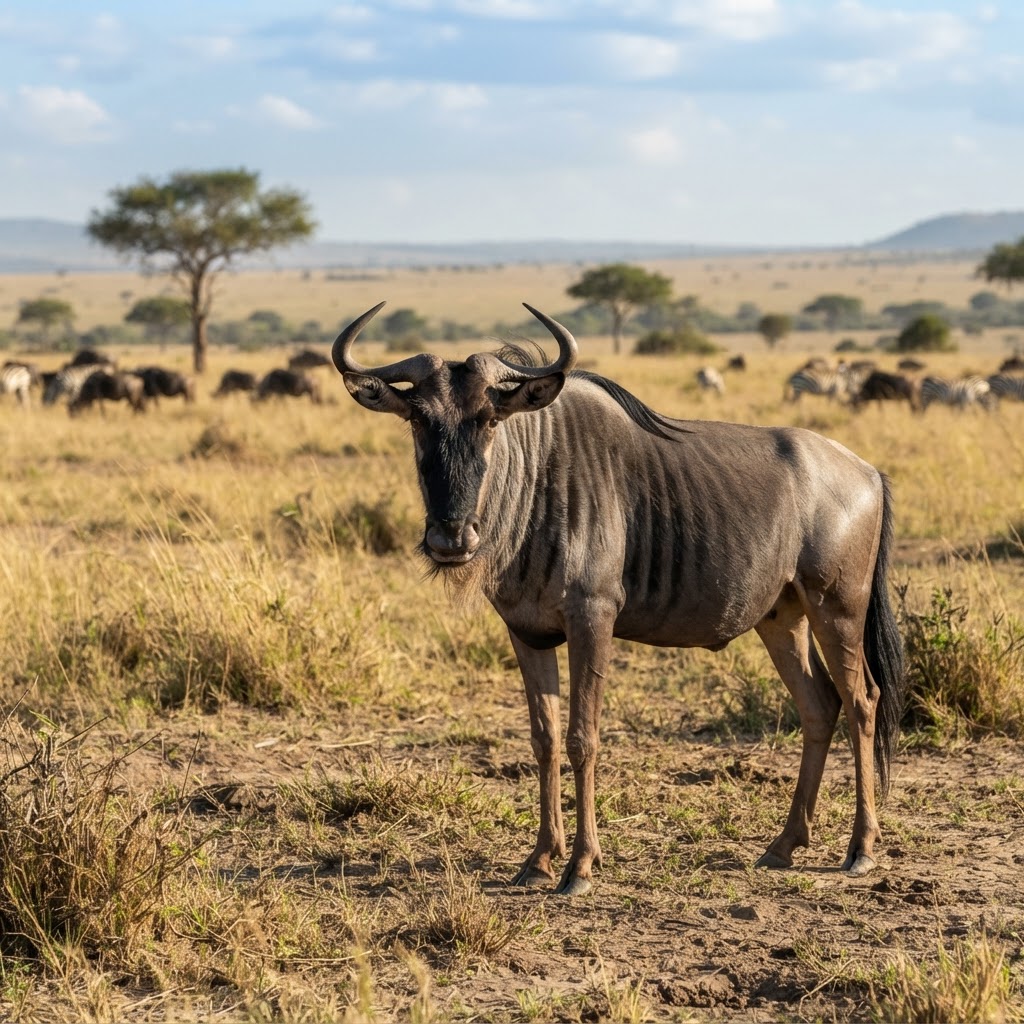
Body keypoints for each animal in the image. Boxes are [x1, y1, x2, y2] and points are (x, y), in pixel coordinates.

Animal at [332, 303, 906, 895]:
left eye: (489, 419)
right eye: (418, 419)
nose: (451, 538)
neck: (537, 480)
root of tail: (868, 472)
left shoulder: (593, 618)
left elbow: (583, 737)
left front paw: (581, 866)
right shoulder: (527, 632)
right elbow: (544, 740)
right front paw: (538, 859)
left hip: (837, 608)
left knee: (862, 701)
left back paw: (861, 849)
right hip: (781, 617)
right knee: (819, 706)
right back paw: (784, 845)